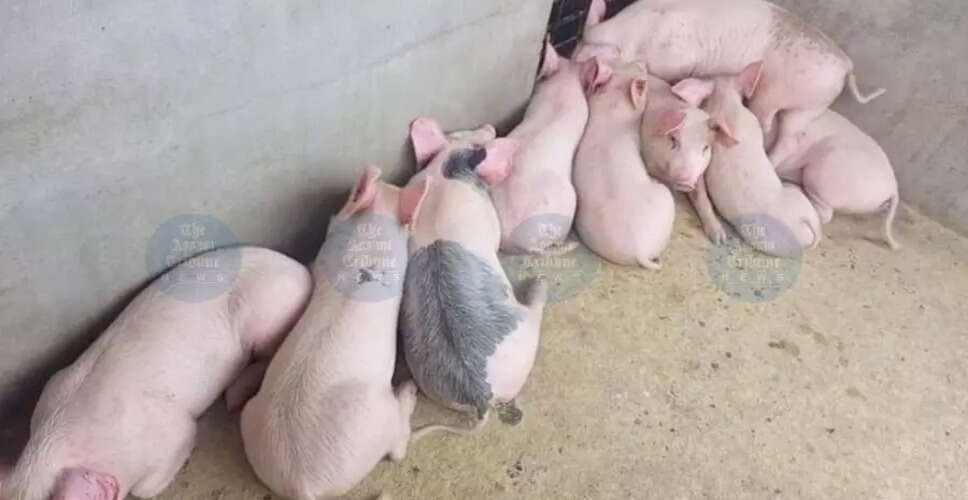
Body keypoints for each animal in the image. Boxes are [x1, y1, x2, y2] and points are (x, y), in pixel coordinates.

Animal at [0, 247, 312, 500]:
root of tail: (302, 271)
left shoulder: (172, 432)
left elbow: (146, 487)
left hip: (268, 319)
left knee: (269, 355)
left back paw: (232, 399)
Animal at [239, 166, 431, 500]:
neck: (371, 239)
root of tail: (302, 484)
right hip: (378, 418)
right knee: (397, 449)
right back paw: (409, 390)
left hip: (250, 416)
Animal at [401, 117, 548, 425]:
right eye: (479, 142)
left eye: (460, 132)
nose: (489, 126)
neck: (444, 173)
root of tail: (481, 396)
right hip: (525, 337)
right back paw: (540, 283)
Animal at [573, 59, 675, 269]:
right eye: (642, 79)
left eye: (618, 65)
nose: (643, 62)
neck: (612, 111)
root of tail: (640, 252)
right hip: (666, 198)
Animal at [577, 0, 885, 167]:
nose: (578, 59)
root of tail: (846, 65)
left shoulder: (679, 56)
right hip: (810, 107)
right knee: (790, 137)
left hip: (780, 95)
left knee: (770, 126)